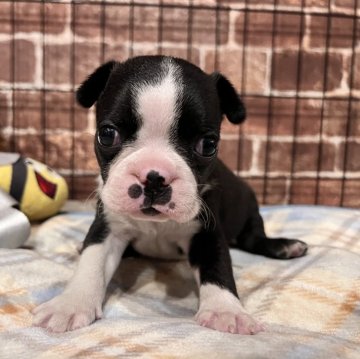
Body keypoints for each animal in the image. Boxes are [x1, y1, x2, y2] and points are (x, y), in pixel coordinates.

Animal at [32, 55, 306, 334]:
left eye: (208, 145)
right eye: (107, 135)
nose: (154, 178)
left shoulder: (206, 231)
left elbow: (217, 266)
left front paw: (225, 310)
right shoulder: (108, 226)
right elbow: (92, 261)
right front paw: (70, 304)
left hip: (249, 208)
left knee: (253, 237)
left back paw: (284, 246)